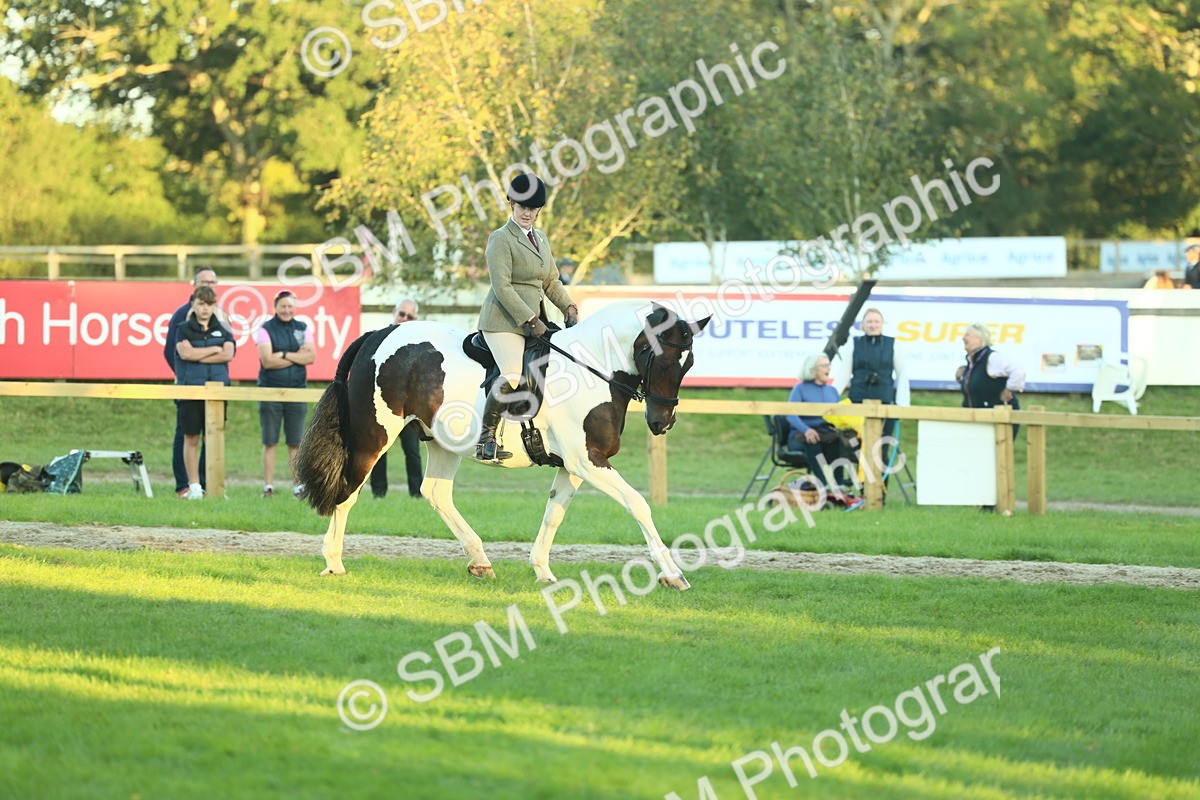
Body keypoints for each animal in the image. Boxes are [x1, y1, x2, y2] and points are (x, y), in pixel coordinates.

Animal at [294, 300, 711, 590]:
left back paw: (480, 560)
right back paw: (333, 562)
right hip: (375, 435)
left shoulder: (574, 465)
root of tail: (380, 332)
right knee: (349, 491)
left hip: (443, 442)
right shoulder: (587, 461)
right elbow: (639, 505)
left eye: (689, 365)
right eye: (663, 360)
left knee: (435, 493)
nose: (662, 422)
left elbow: (554, 514)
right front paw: (673, 574)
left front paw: (543, 570)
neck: (590, 366)